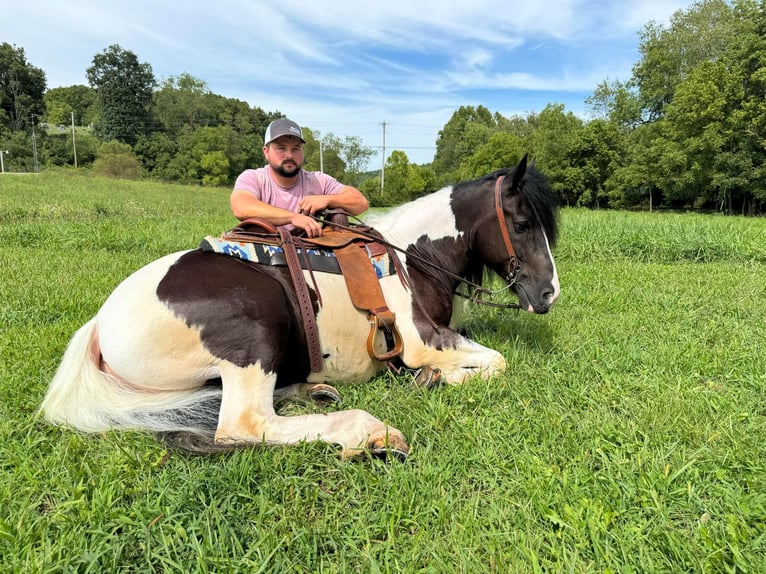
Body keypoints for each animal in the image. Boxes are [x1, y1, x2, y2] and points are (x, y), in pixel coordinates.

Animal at [40, 155, 559, 459]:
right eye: (522, 222)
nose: (549, 293)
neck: (414, 257)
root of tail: (100, 324)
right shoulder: (423, 342)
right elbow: (497, 361)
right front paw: (436, 377)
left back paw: (314, 392)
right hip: (257, 327)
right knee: (244, 424)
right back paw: (365, 432)